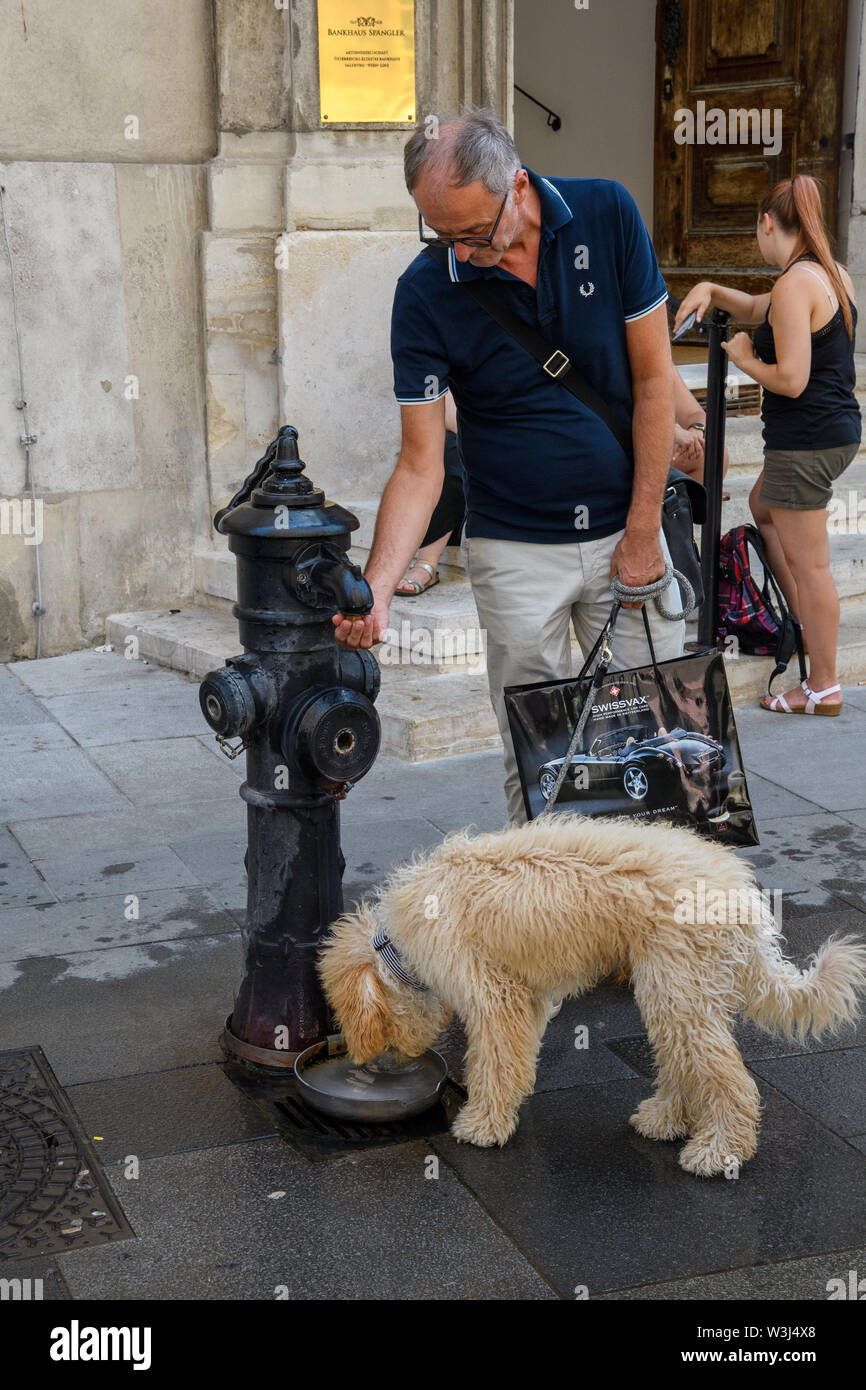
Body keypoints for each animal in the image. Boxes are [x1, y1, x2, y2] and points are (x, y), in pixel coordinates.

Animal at [319, 811, 866, 1173]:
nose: (383, 1062)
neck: (397, 942)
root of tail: (742, 893)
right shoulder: (528, 995)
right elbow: (514, 1057)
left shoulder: (494, 997)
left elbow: (494, 1060)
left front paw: (483, 1124)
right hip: (672, 989)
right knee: (685, 1061)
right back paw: (666, 1118)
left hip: (679, 988)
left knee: (728, 1078)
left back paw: (720, 1151)